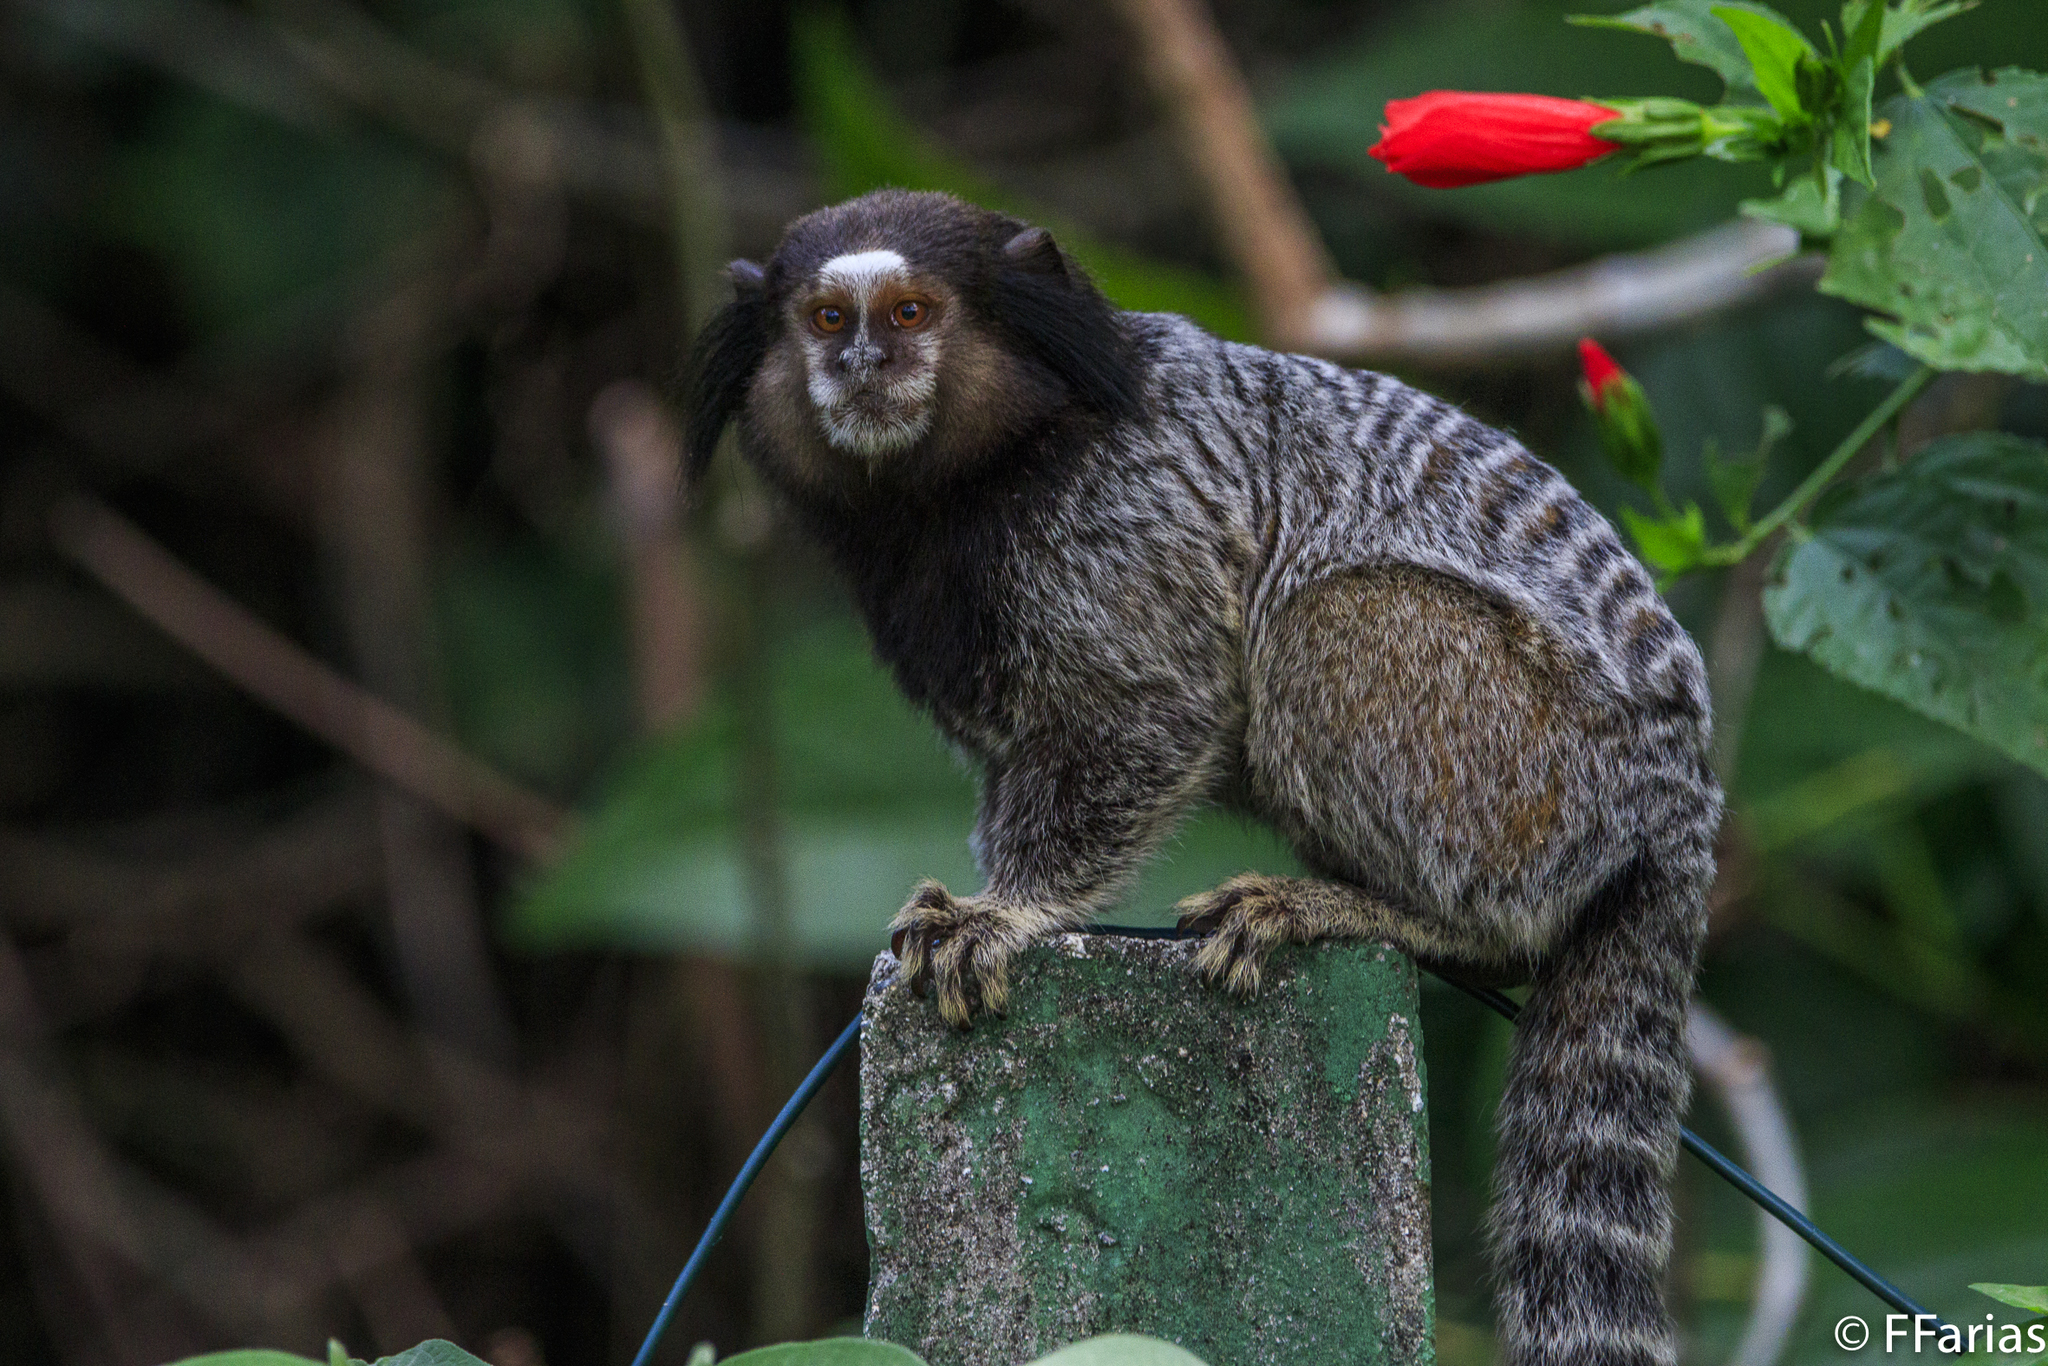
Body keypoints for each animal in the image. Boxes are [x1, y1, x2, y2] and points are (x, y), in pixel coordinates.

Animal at [684, 192, 1712, 1366]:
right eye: (823, 319)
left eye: (909, 312)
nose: (861, 363)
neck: (977, 477)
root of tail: (1678, 796)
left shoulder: (1122, 531)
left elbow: (1150, 711)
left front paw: (1007, 911)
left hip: (1535, 761)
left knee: (1329, 629)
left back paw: (1372, 912)